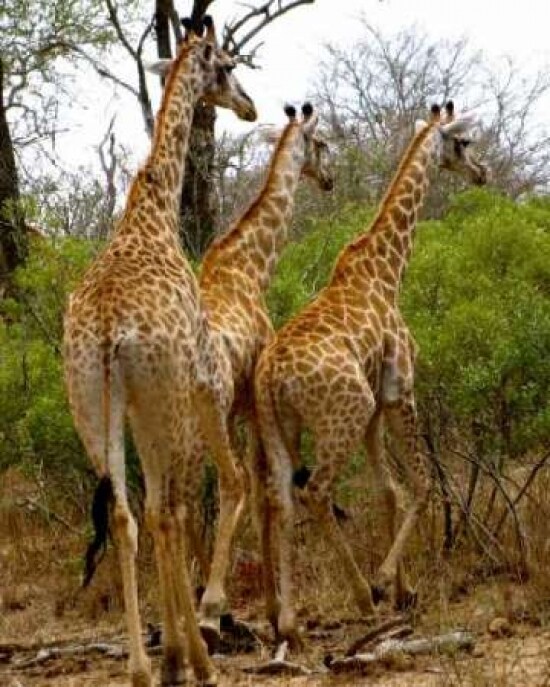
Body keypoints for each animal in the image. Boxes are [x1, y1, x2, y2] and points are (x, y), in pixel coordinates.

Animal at [63, 17, 256, 687]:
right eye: (227, 65)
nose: (250, 106)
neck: (153, 212)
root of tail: (105, 334)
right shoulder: (192, 378)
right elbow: (178, 507)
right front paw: (188, 649)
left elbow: (143, 512)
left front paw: (166, 654)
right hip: (160, 396)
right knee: (166, 510)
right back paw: (193, 658)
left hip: (93, 405)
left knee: (127, 515)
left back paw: (142, 668)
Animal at [188, 102, 333, 644]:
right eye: (323, 144)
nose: (330, 178)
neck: (250, 268)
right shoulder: (249, 401)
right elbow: (263, 490)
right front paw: (271, 610)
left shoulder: (241, 409)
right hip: (202, 417)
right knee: (230, 484)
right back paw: (209, 611)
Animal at [254, 102, 489, 644]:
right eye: (464, 142)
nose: (483, 172)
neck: (388, 267)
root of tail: (272, 375)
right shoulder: (401, 388)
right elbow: (421, 485)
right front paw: (385, 583)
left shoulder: (379, 405)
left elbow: (389, 491)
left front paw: (404, 591)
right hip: (345, 410)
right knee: (316, 491)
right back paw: (361, 594)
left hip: (282, 425)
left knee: (280, 496)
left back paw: (288, 622)